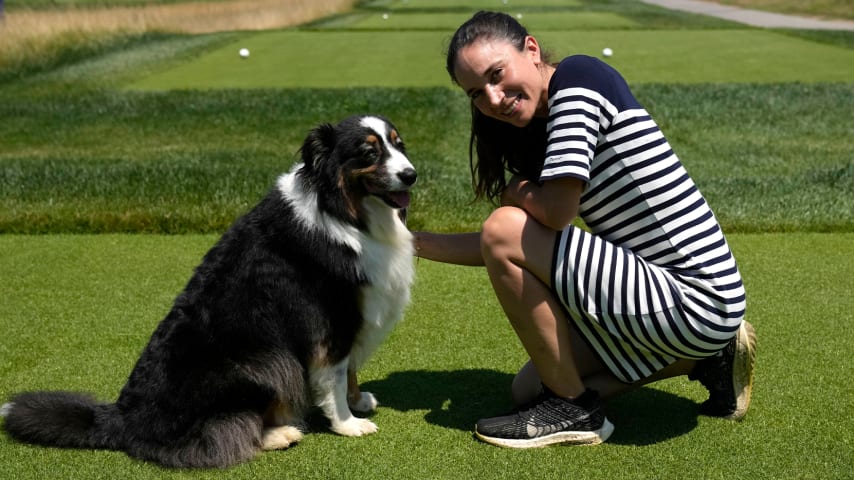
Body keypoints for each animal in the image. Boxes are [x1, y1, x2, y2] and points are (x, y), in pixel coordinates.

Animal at [2, 114, 418, 466]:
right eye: (369, 152)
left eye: (399, 144)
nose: (411, 175)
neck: (344, 212)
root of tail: (122, 418)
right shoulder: (332, 315)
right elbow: (335, 374)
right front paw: (347, 424)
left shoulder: (355, 315)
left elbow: (351, 368)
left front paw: (357, 400)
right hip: (263, 361)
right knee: (218, 436)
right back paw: (278, 433)